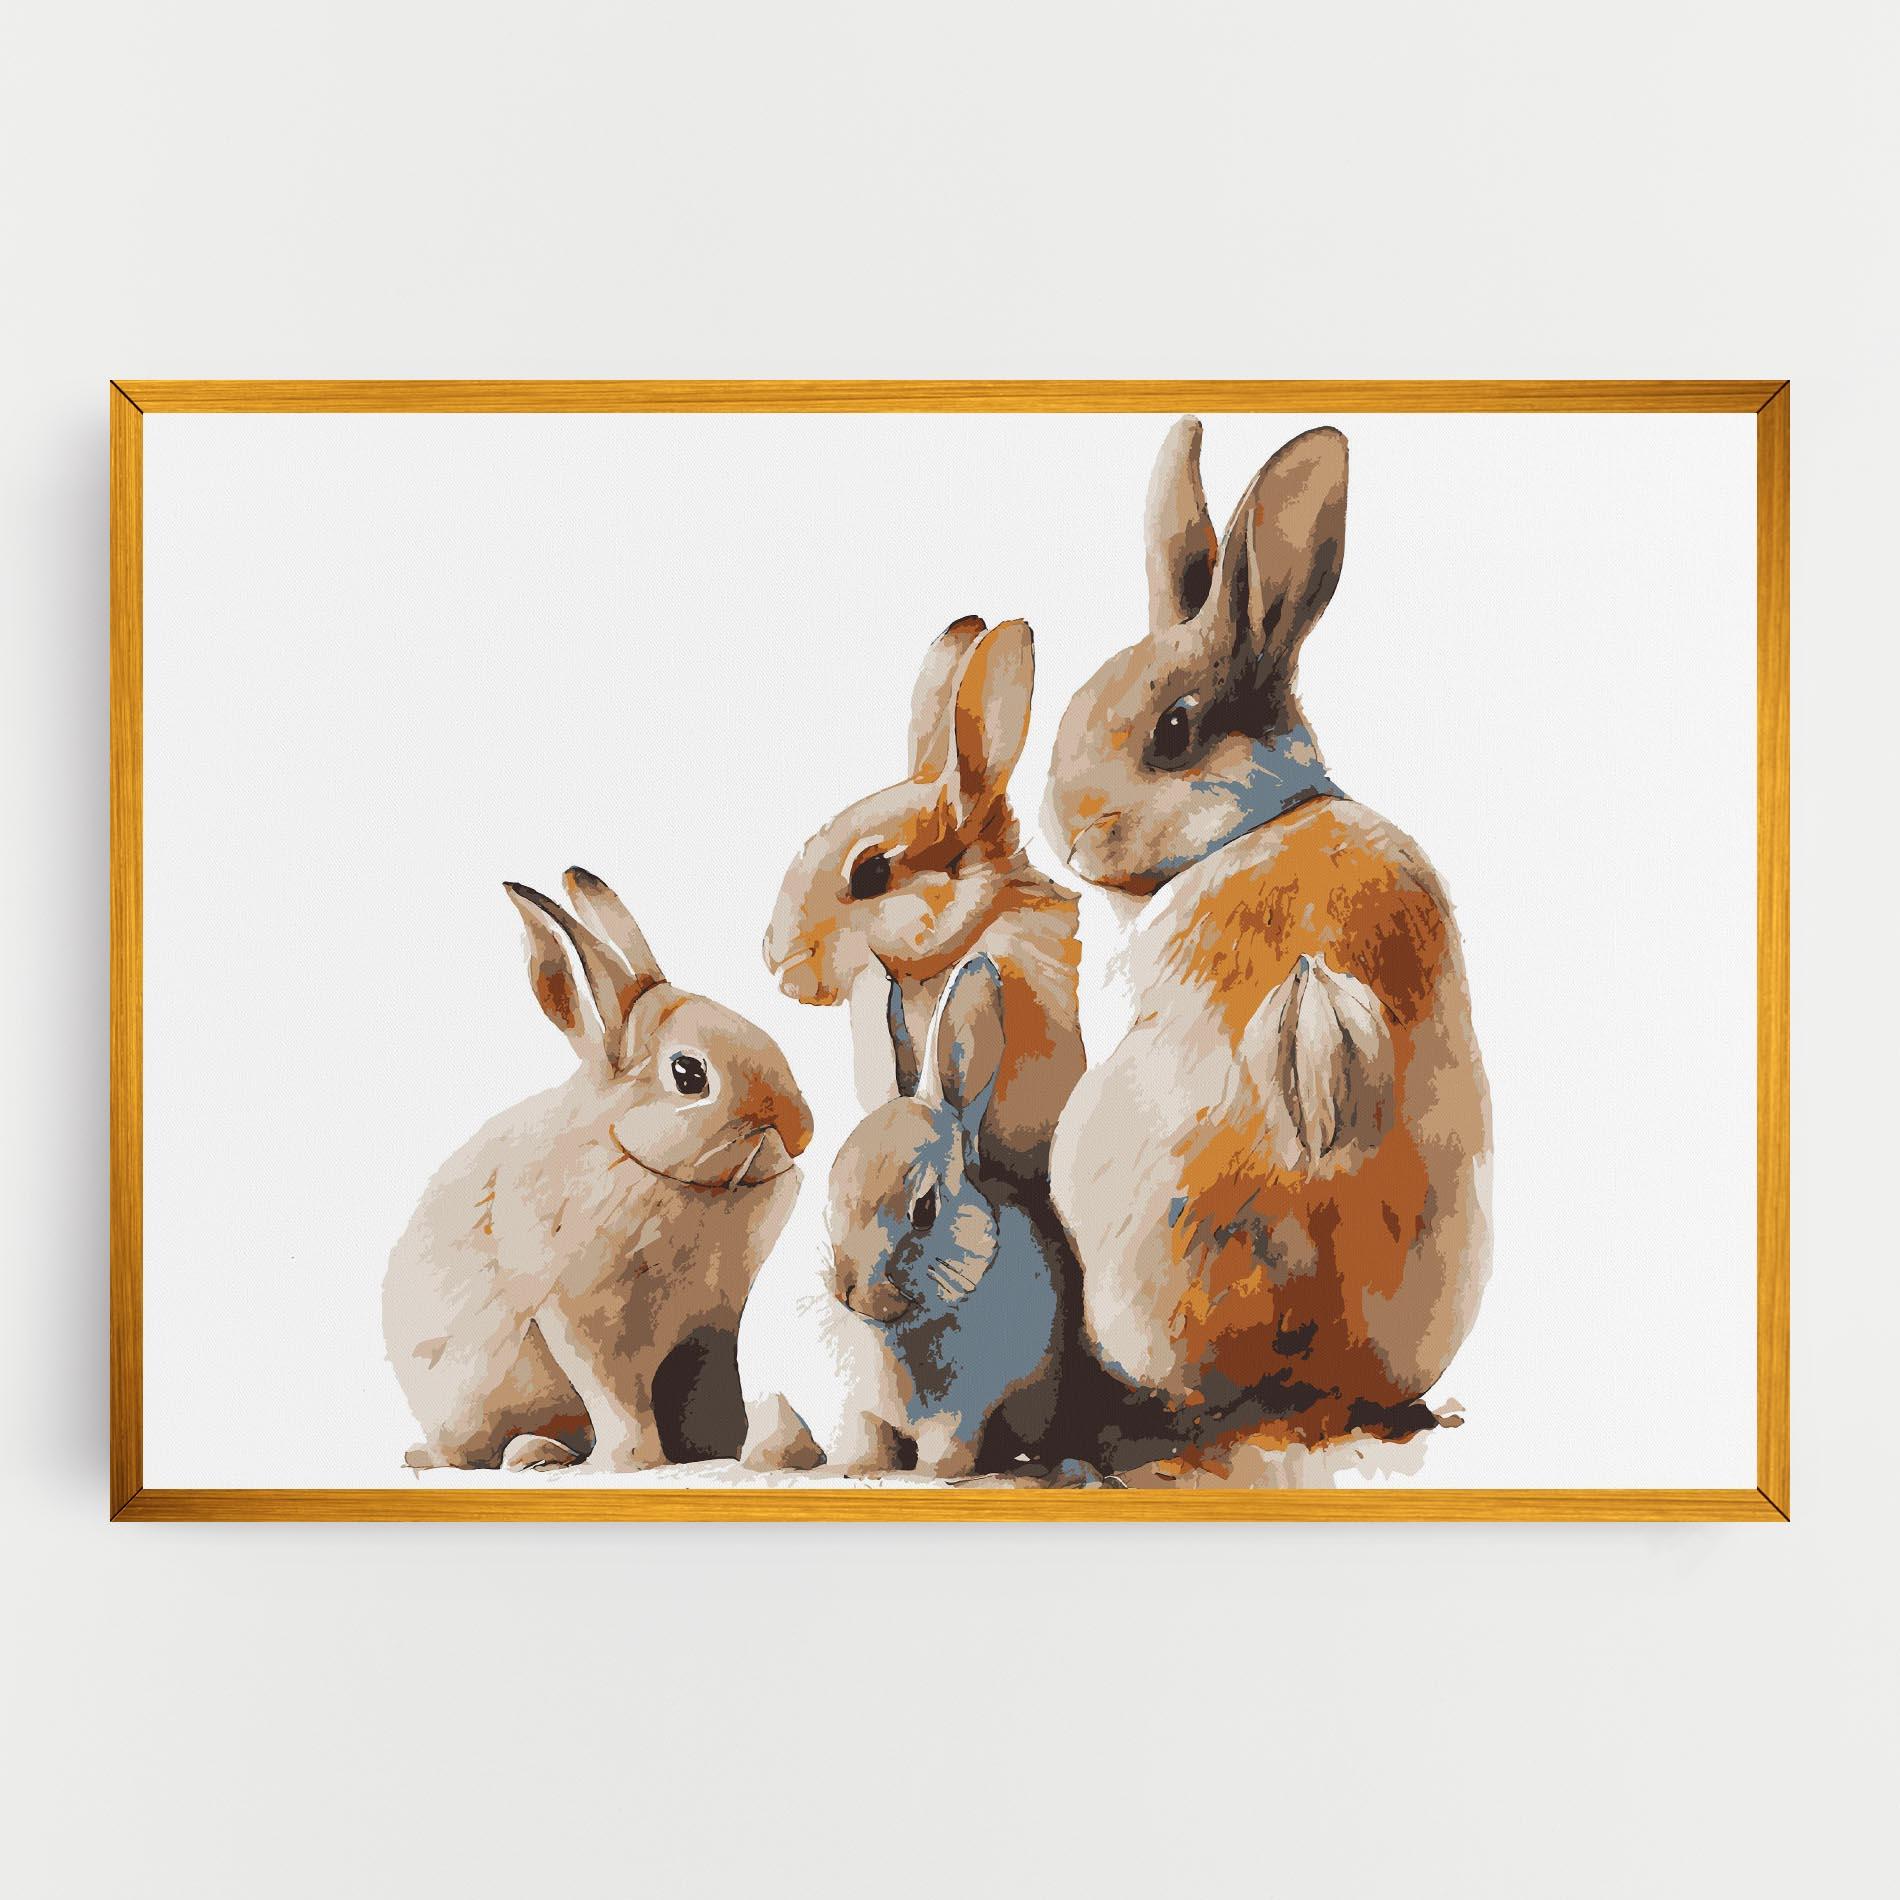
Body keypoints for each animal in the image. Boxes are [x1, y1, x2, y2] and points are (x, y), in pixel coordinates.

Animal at [384, 867, 813, 1472]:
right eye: (689, 1074)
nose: (802, 1130)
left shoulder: (711, 1326)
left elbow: (710, 1389)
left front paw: (721, 1450)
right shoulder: (586, 1320)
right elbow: (616, 1395)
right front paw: (636, 1463)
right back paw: (530, 1454)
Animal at [824, 954, 1065, 1478]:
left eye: (925, 1208)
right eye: (832, 1189)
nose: (851, 1294)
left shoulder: (959, 1417)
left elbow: (945, 1454)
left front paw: (930, 1477)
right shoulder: (864, 1412)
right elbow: (869, 1440)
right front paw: (860, 1470)